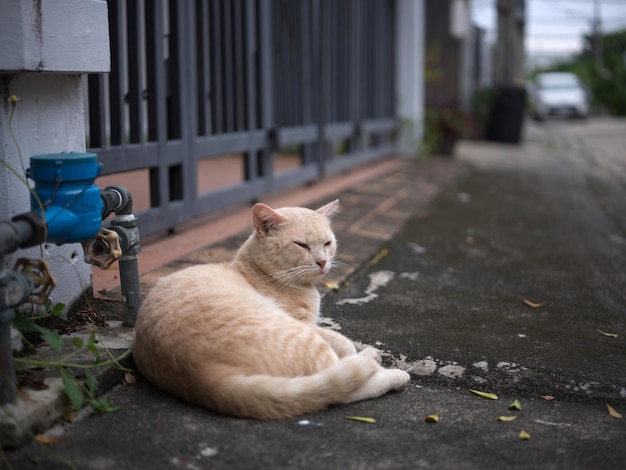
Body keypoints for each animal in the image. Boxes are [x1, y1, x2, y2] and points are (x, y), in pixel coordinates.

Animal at [133, 199, 410, 418]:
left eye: (327, 243)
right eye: (301, 245)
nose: (323, 261)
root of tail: (204, 375)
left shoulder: (310, 323)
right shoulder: (303, 324)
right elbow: (342, 341)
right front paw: (356, 351)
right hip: (298, 337)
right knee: (339, 386)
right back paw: (386, 369)